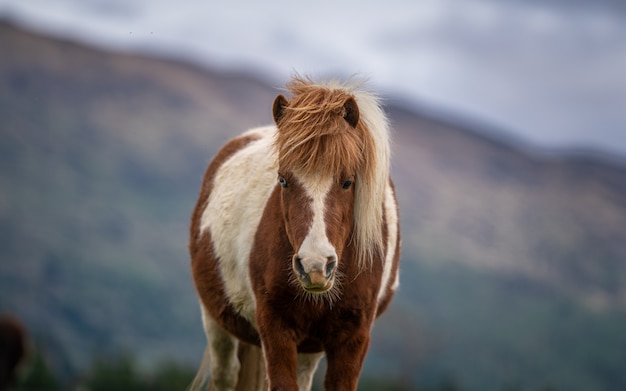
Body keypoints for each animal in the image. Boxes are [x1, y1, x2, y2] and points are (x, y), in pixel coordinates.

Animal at [188, 77, 400, 391]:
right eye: (283, 180)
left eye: (348, 181)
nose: (314, 266)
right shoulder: (275, 327)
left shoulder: (353, 337)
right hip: (215, 320)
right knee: (225, 375)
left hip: (310, 346)